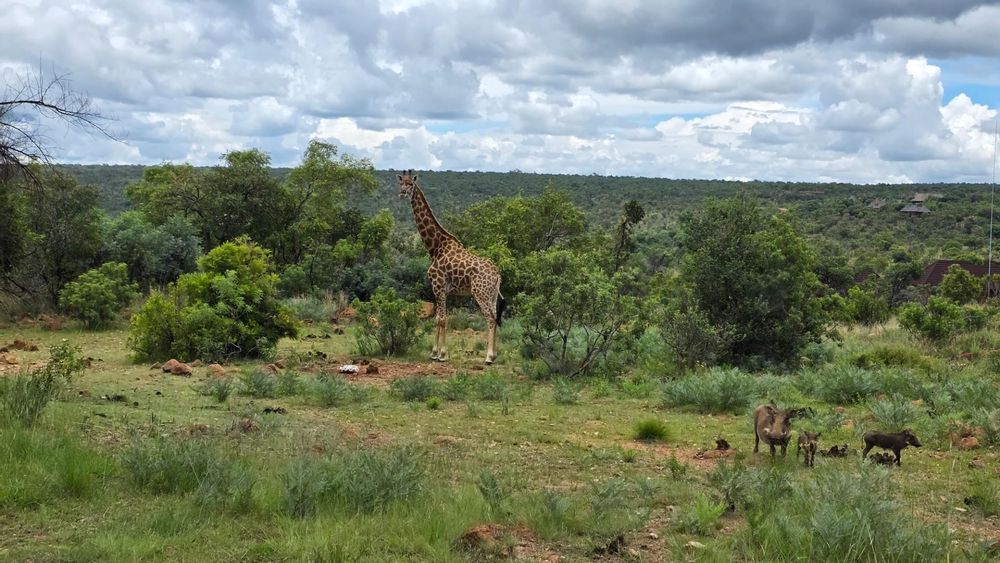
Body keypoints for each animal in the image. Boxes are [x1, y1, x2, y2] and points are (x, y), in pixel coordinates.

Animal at [397, 170, 505, 364]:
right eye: (401, 182)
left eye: (411, 184)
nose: (402, 194)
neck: (435, 247)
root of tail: (497, 274)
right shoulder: (443, 290)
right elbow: (438, 319)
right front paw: (434, 353)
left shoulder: (438, 285)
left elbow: (442, 319)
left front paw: (441, 354)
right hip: (492, 295)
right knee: (495, 316)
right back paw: (494, 355)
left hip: (480, 293)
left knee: (491, 318)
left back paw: (488, 357)